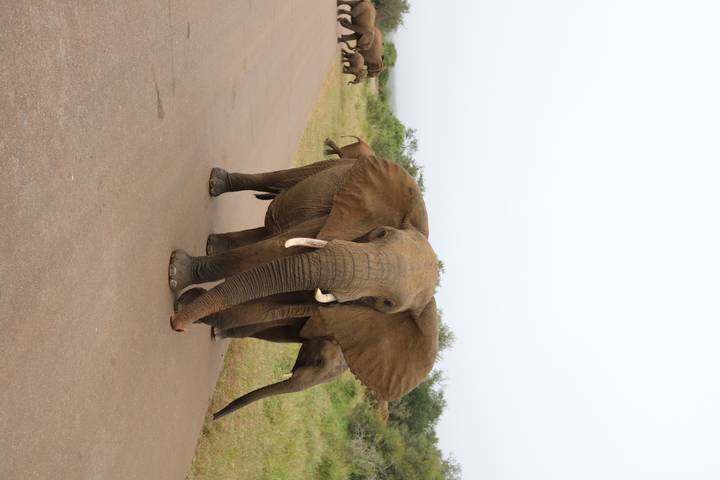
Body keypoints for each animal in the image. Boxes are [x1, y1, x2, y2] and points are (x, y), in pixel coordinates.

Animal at [167, 157, 439, 413]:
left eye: (386, 304)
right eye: (380, 233)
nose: (176, 325)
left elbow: (265, 308)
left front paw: (188, 303)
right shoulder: (328, 226)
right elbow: (271, 251)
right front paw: (177, 275)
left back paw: (214, 247)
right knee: (279, 181)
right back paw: (216, 185)